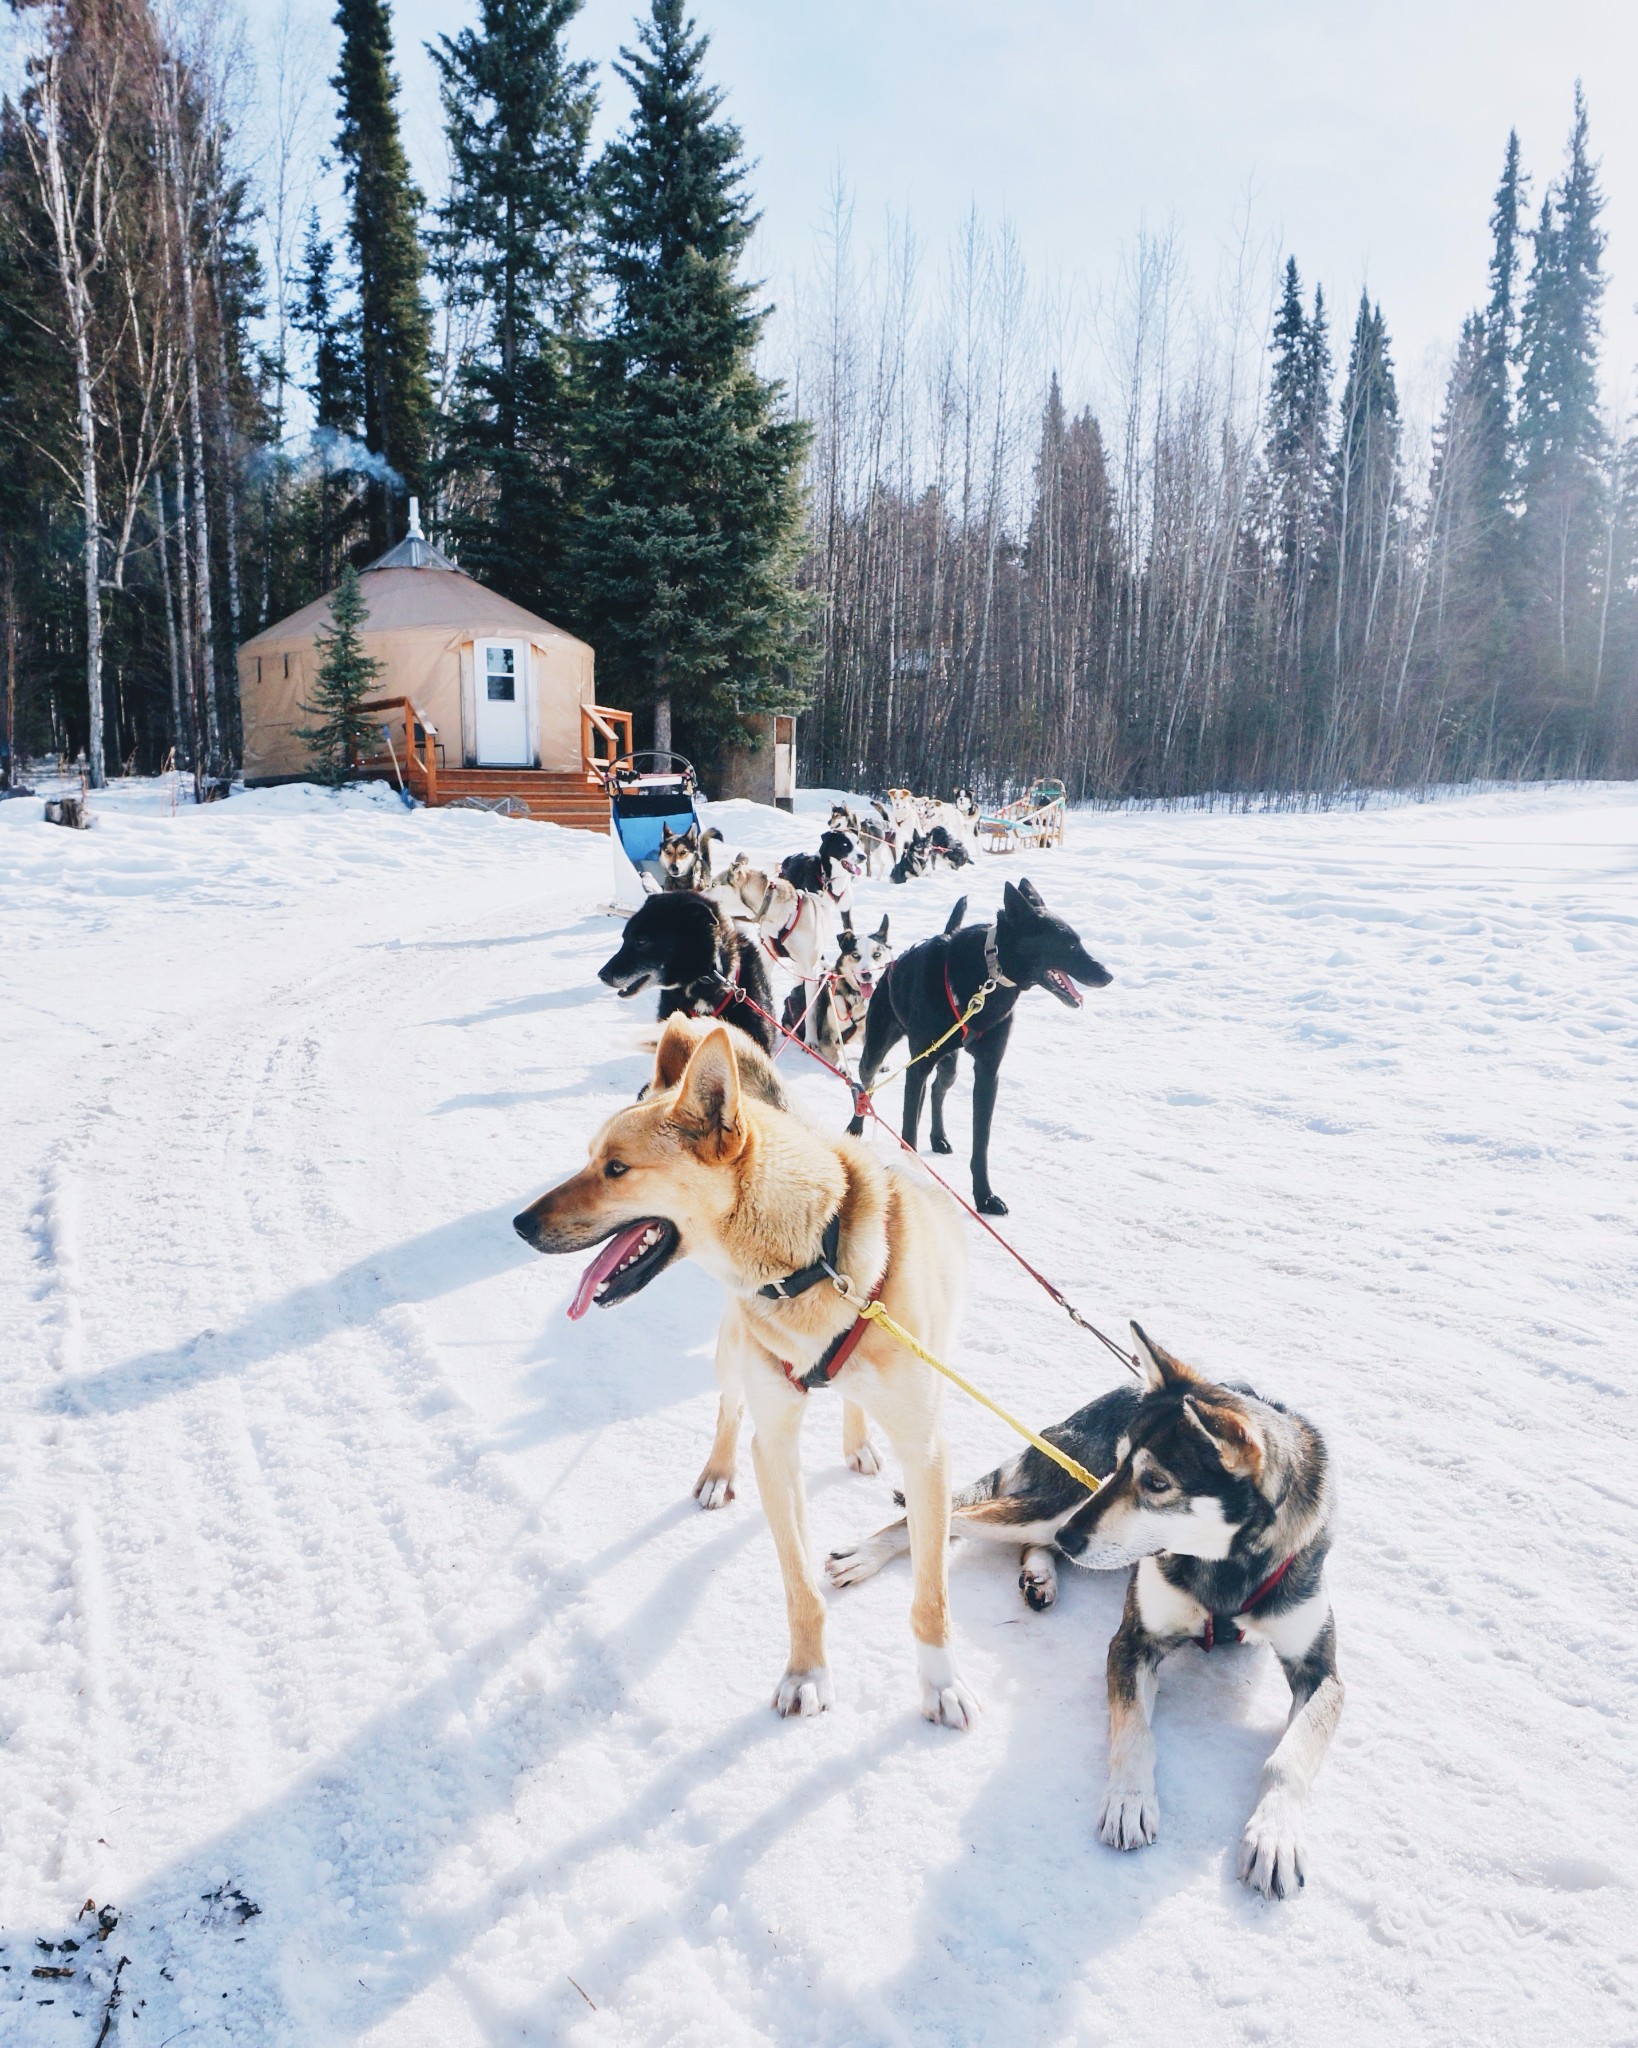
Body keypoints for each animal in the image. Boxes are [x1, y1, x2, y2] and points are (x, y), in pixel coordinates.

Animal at [515, 1015, 974, 1720]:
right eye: (590, 1158)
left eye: (616, 1168)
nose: (519, 1224)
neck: (815, 1260)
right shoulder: (775, 1446)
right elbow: (799, 1584)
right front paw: (808, 1673)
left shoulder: (926, 1451)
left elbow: (932, 1594)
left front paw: (941, 1681)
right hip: (733, 1358)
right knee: (729, 1408)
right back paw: (718, 1472)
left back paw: (858, 1440)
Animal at [831, 1318, 1343, 1892]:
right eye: (1121, 1464)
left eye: (1157, 1482)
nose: (1072, 1538)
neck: (1224, 1568)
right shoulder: (1132, 1642)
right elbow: (1135, 1729)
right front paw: (1129, 1800)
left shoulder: (1320, 1672)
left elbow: (1289, 1757)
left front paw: (1275, 1833)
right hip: (1060, 1502)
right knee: (941, 1519)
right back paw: (868, 1553)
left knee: (1017, 1539)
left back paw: (1040, 1574)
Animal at [843, 880, 1113, 1212]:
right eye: (1071, 945)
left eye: (1079, 942)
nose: (1108, 975)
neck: (985, 978)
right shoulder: (918, 1066)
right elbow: (907, 1130)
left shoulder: (988, 1072)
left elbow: (980, 1142)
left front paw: (984, 1196)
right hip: (878, 1049)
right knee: (865, 1086)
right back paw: (856, 1127)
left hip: (949, 1064)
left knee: (938, 1089)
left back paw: (938, 1137)